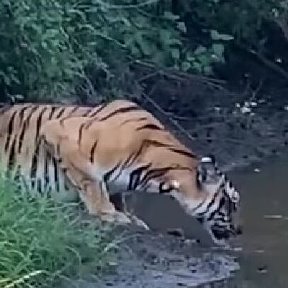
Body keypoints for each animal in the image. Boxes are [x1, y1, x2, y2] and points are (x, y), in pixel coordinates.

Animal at [0, 99, 241, 248]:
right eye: (231, 203)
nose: (239, 231)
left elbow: (116, 196)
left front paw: (132, 218)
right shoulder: (60, 131)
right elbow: (92, 182)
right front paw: (110, 214)